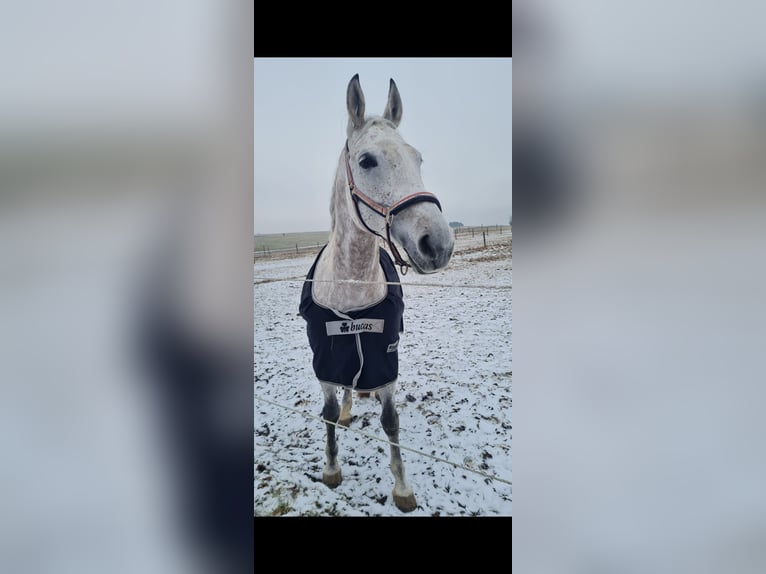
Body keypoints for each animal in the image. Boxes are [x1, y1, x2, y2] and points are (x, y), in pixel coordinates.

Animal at [299, 74, 454, 512]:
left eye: (418, 159)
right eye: (367, 160)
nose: (439, 243)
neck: (350, 285)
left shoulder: (385, 357)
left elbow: (390, 421)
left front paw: (402, 488)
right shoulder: (325, 356)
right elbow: (328, 411)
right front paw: (331, 469)